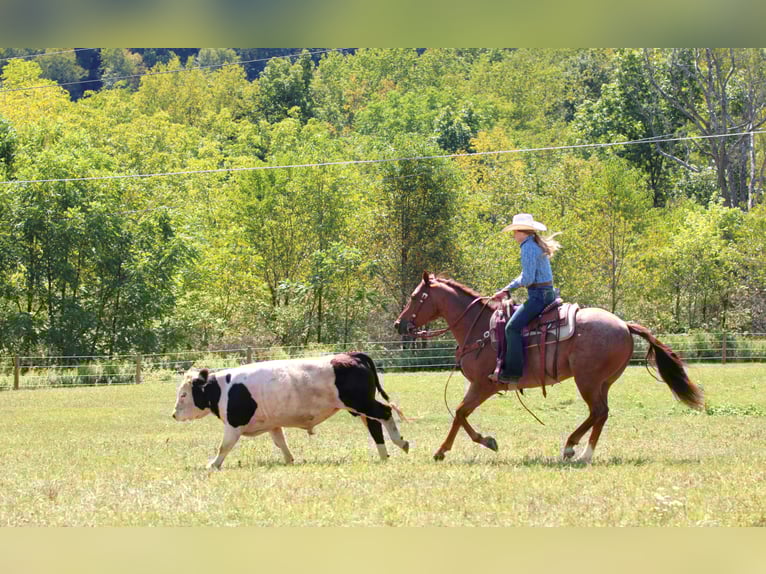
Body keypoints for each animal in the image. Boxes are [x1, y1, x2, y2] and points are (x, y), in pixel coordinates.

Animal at [393, 271, 704, 463]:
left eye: (415, 297)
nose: (399, 324)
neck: (479, 327)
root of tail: (625, 325)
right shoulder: (480, 386)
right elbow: (462, 414)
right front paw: (487, 441)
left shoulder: (484, 385)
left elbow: (459, 412)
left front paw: (444, 450)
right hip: (602, 382)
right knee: (600, 414)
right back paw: (578, 449)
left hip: (587, 380)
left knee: (598, 412)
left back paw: (576, 450)